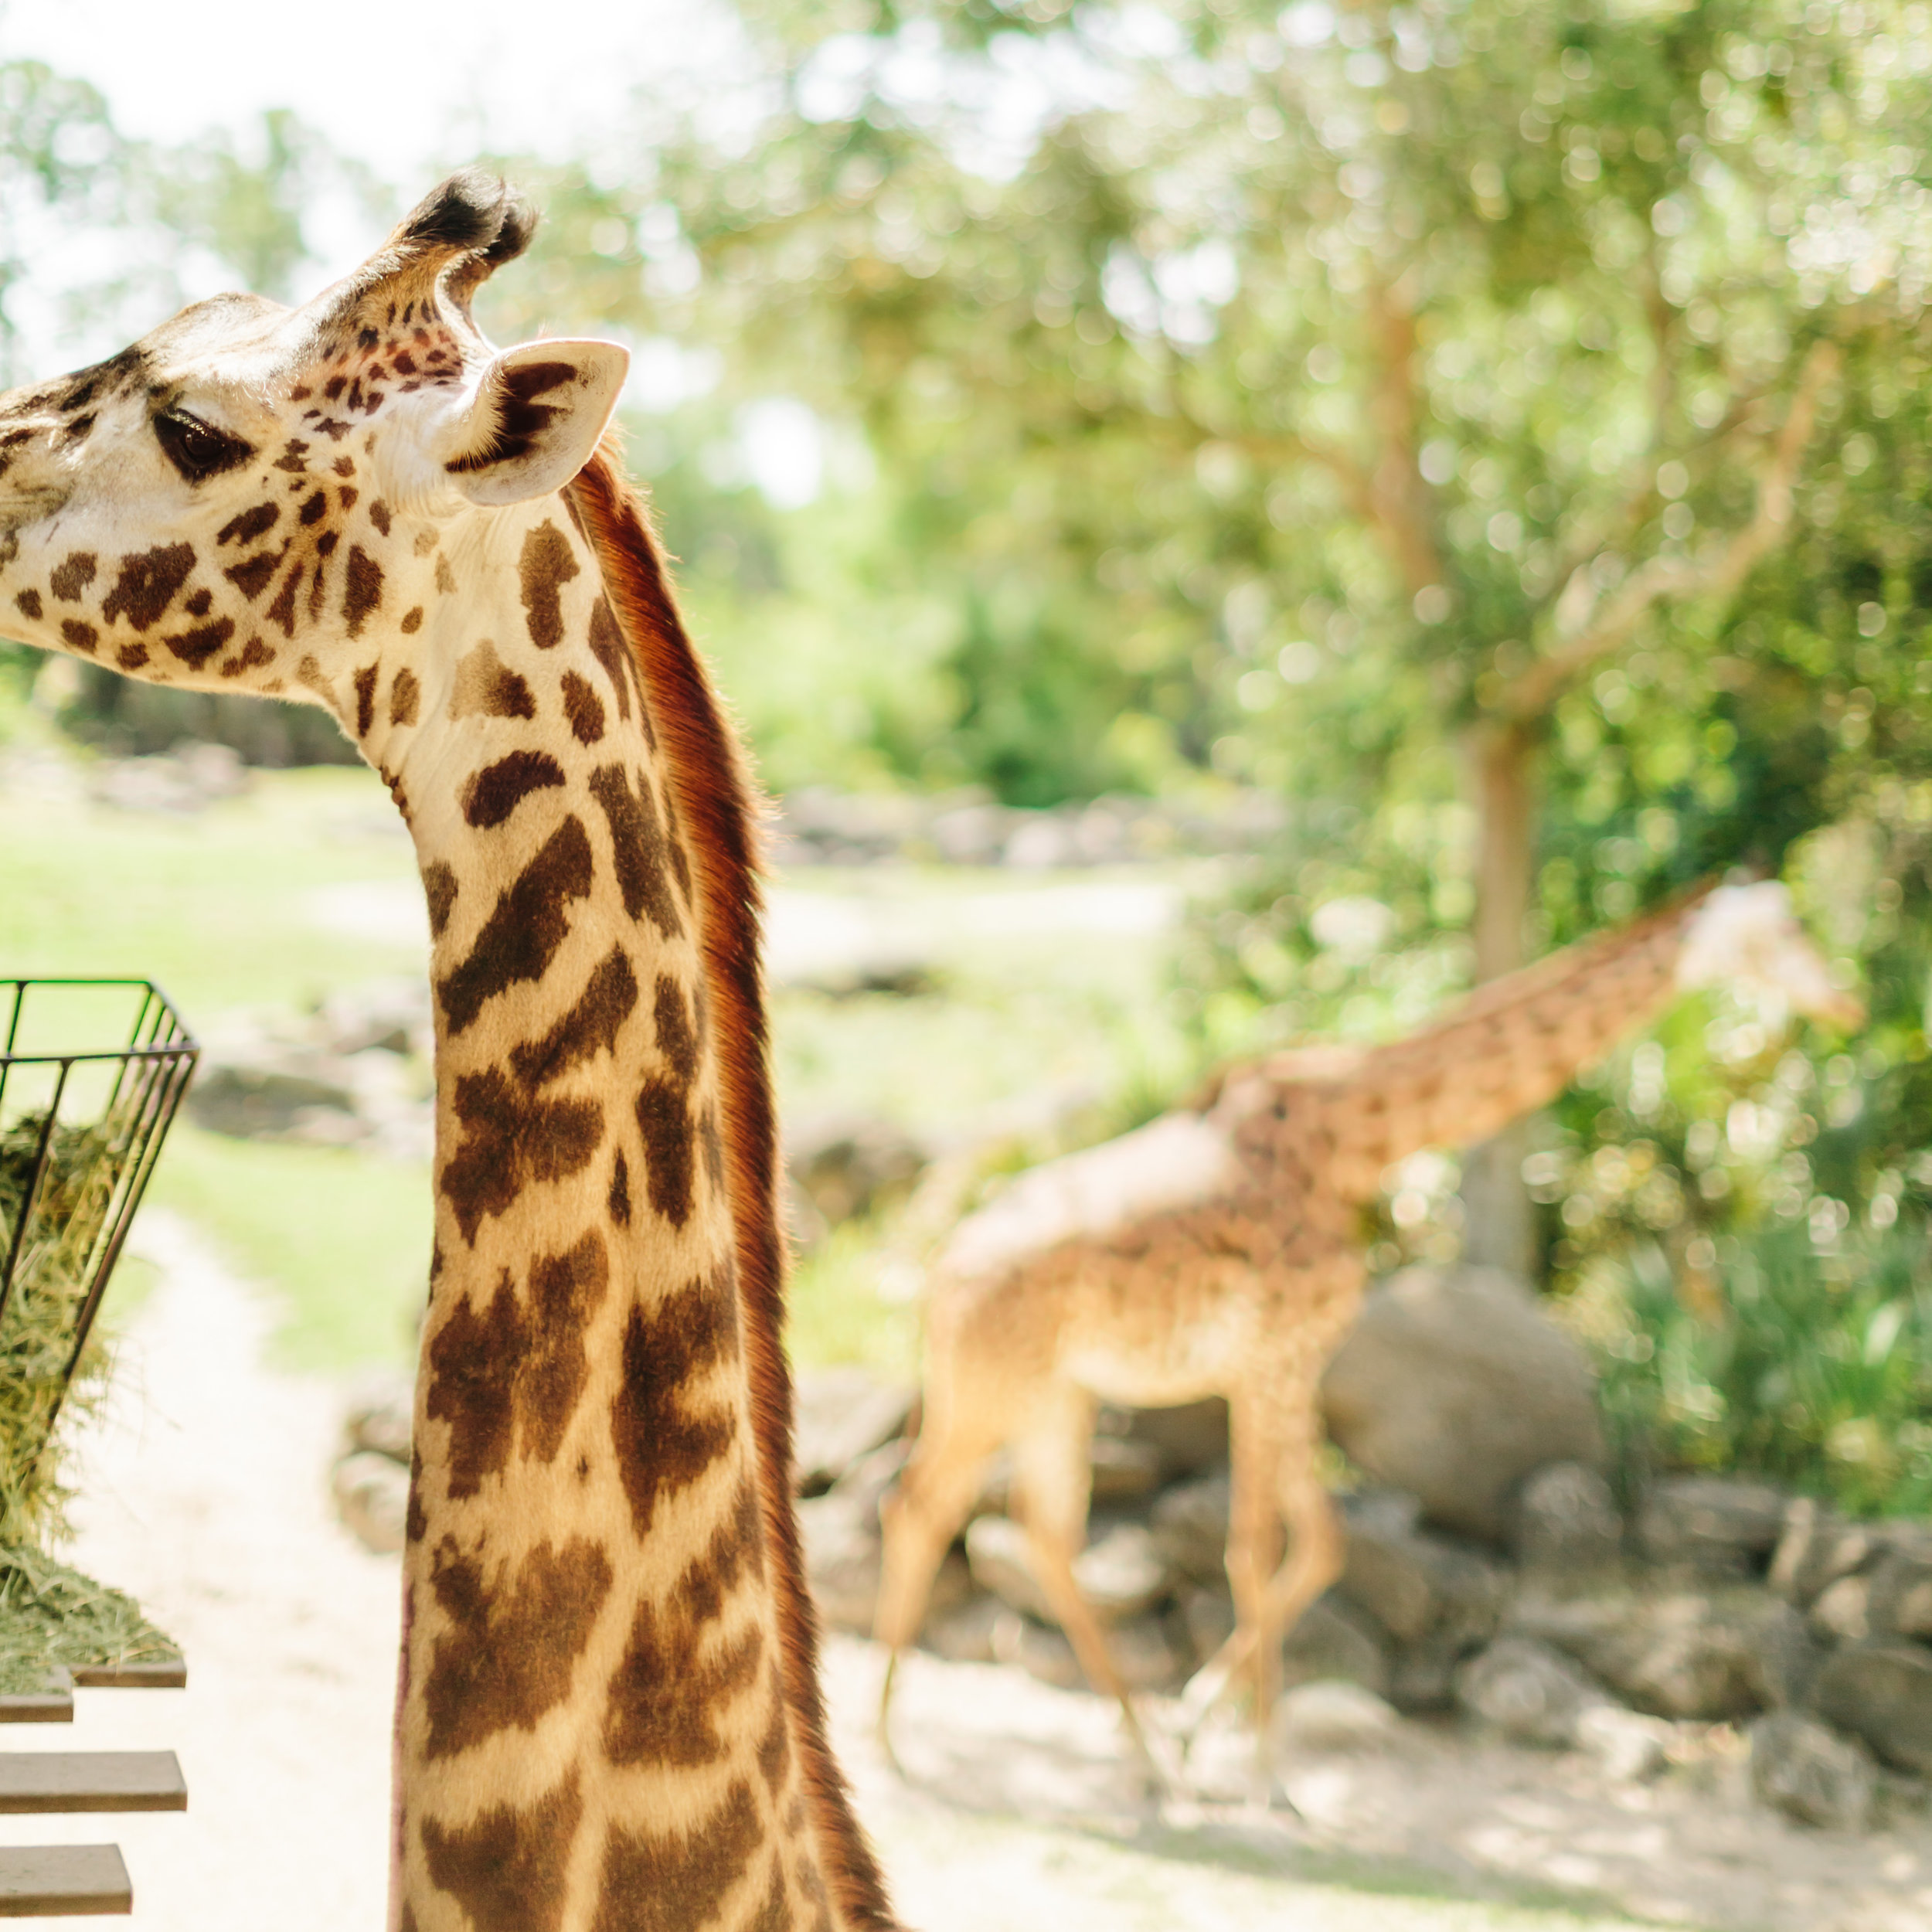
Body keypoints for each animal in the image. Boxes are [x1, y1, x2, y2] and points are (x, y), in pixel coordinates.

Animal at [873, 877, 1855, 1777]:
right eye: (1779, 933)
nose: (1844, 1000)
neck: (1356, 1139)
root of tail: (936, 1277)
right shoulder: (1269, 1359)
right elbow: (1250, 1549)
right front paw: (1267, 1777)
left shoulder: (1293, 1363)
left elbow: (1320, 1543)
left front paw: (1204, 1722)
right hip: (992, 1389)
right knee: (919, 1506)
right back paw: (890, 1743)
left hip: (1058, 1397)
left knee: (1042, 1535)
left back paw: (1143, 1751)